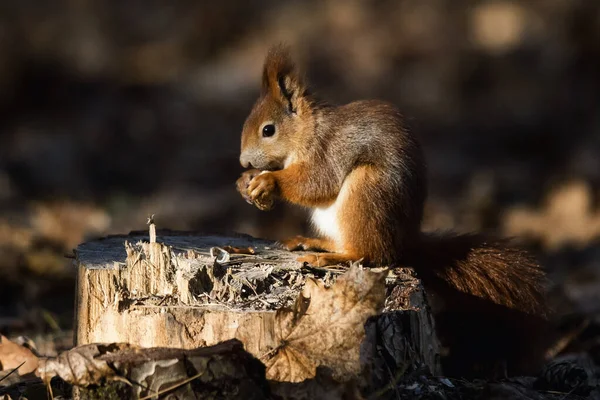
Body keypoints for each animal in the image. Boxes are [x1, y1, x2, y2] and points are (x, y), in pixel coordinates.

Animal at [233, 45, 548, 380]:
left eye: (268, 130)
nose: (243, 162)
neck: (308, 130)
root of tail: (406, 242)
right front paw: (245, 182)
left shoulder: (328, 151)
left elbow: (316, 182)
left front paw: (269, 181)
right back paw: (313, 243)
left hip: (366, 192)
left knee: (369, 254)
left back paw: (328, 257)